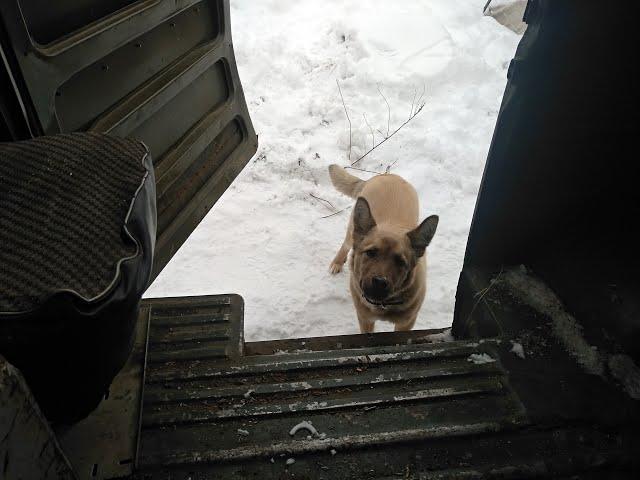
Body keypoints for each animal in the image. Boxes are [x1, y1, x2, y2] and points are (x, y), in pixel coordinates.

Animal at [328, 163, 438, 332]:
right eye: (370, 252)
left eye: (401, 262)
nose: (379, 283)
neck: (383, 305)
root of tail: (387, 175)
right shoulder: (365, 319)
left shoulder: (406, 323)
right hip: (351, 230)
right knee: (345, 245)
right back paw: (337, 262)